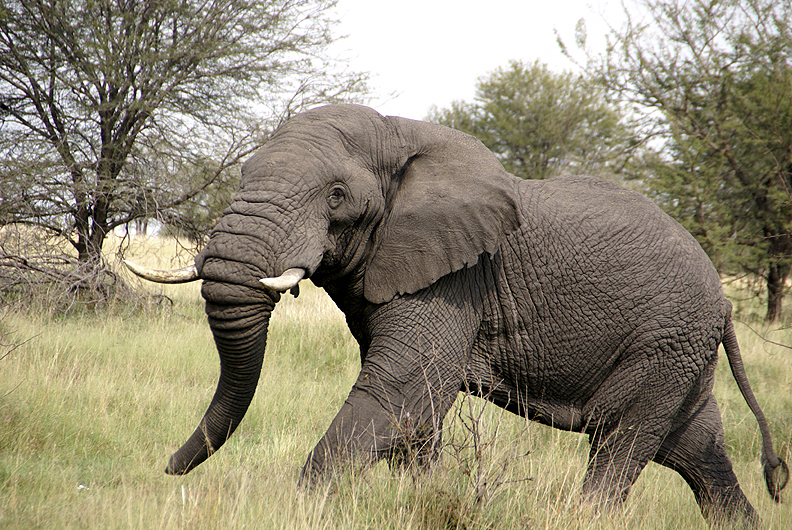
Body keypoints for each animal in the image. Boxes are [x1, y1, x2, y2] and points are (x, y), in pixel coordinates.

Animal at [127, 103, 788, 524]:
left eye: (336, 197)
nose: (167, 470)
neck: (400, 133)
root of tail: (722, 298)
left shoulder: (457, 280)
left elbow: (398, 393)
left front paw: (301, 510)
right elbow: (413, 415)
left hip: (667, 338)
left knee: (622, 440)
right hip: (679, 348)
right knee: (695, 449)